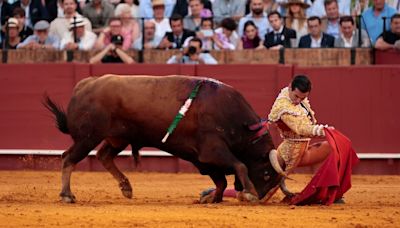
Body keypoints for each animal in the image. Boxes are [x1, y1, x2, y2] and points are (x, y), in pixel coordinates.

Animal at [44, 74, 282, 203]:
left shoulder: (203, 159)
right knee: (69, 158)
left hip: (117, 137)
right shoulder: (212, 151)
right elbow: (240, 166)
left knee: (104, 155)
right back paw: (67, 195)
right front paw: (250, 193)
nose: (262, 197)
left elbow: (222, 181)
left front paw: (211, 198)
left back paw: (126, 187)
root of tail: (85, 84)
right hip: (88, 137)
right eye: (267, 174)